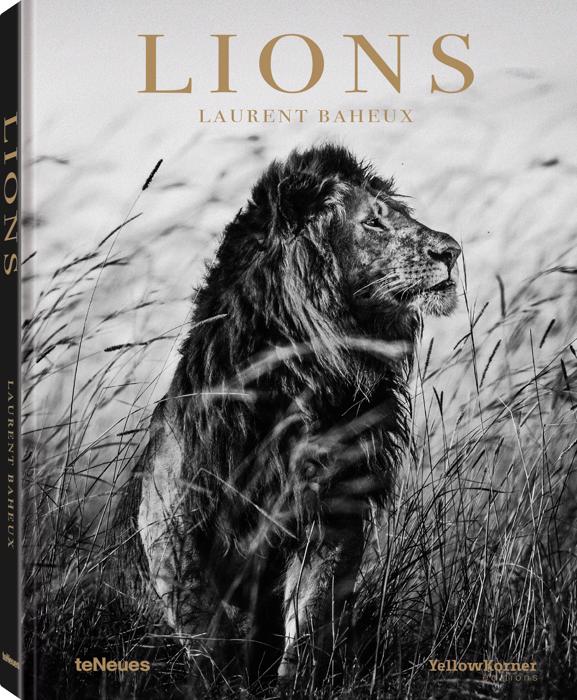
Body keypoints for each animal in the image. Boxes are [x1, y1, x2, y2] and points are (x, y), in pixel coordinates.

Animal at [116, 144, 460, 690]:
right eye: (373, 221)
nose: (452, 251)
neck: (305, 378)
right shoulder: (170, 518)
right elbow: (205, 625)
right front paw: (221, 685)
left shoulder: (334, 514)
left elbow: (311, 616)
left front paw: (291, 682)